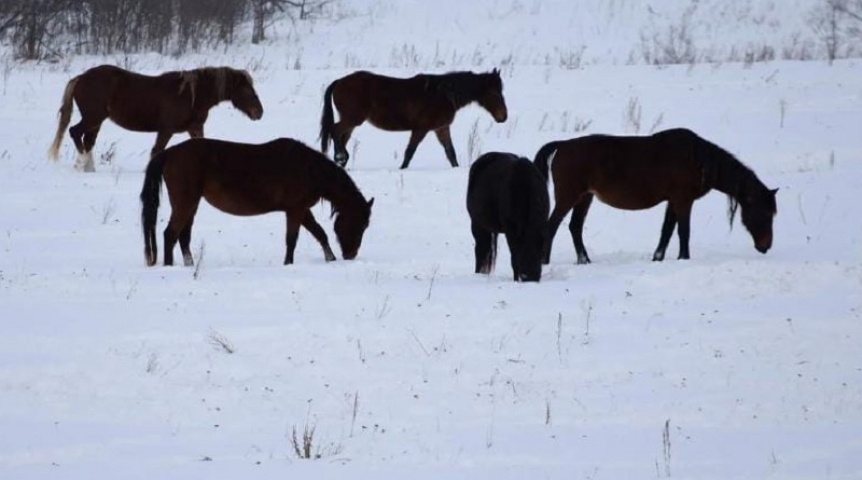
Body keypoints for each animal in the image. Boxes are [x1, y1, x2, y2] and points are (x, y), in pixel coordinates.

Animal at [48, 64, 263, 172]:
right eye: (246, 89)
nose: (259, 112)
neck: (191, 95)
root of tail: (80, 78)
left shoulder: (194, 128)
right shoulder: (166, 130)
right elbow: (156, 151)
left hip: (96, 121)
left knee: (87, 141)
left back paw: (89, 168)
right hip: (93, 118)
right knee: (75, 133)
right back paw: (81, 164)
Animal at [140, 137, 374, 267]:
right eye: (359, 224)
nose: (351, 255)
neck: (309, 170)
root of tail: (170, 153)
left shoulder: (302, 210)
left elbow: (320, 233)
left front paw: (330, 258)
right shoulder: (295, 209)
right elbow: (292, 240)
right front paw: (288, 264)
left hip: (191, 204)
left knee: (183, 237)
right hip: (185, 203)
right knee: (170, 235)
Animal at [319, 69, 508, 169]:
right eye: (494, 93)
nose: (503, 117)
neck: (443, 95)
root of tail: (339, 82)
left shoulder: (441, 128)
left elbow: (450, 153)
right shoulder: (421, 128)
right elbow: (410, 152)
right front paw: (402, 169)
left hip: (352, 121)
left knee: (341, 136)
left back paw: (341, 161)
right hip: (352, 118)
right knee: (335, 130)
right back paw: (340, 158)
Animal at [467, 152, 550, 282]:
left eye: (541, 250)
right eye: (523, 248)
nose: (530, 277)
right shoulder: (511, 232)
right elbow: (514, 259)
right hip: (477, 224)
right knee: (481, 250)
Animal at [533, 128, 778, 264]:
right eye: (766, 213)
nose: (766, 246)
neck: (698, 160)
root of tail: (562, 146)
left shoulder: (672, 201)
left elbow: (667, 232)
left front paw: (658, 258)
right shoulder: (683, 200)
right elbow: (683, 231)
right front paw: (683, 258)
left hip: (585, 197)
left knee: (574, 227)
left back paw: (584, 261)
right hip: (569, 196)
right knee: (551, 226)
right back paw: (544, 261)